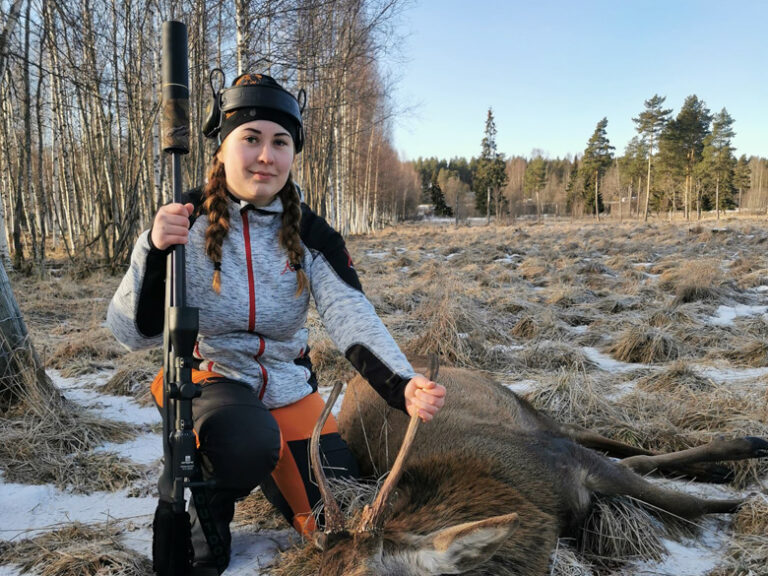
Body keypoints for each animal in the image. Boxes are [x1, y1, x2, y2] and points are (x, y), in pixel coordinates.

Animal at [308, 358, 768, 572]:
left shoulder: (564, 459)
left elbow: (686, 505)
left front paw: (742, 507)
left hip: (532, 413)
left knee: (608, 441)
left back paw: (745, 447)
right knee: (632, 455)